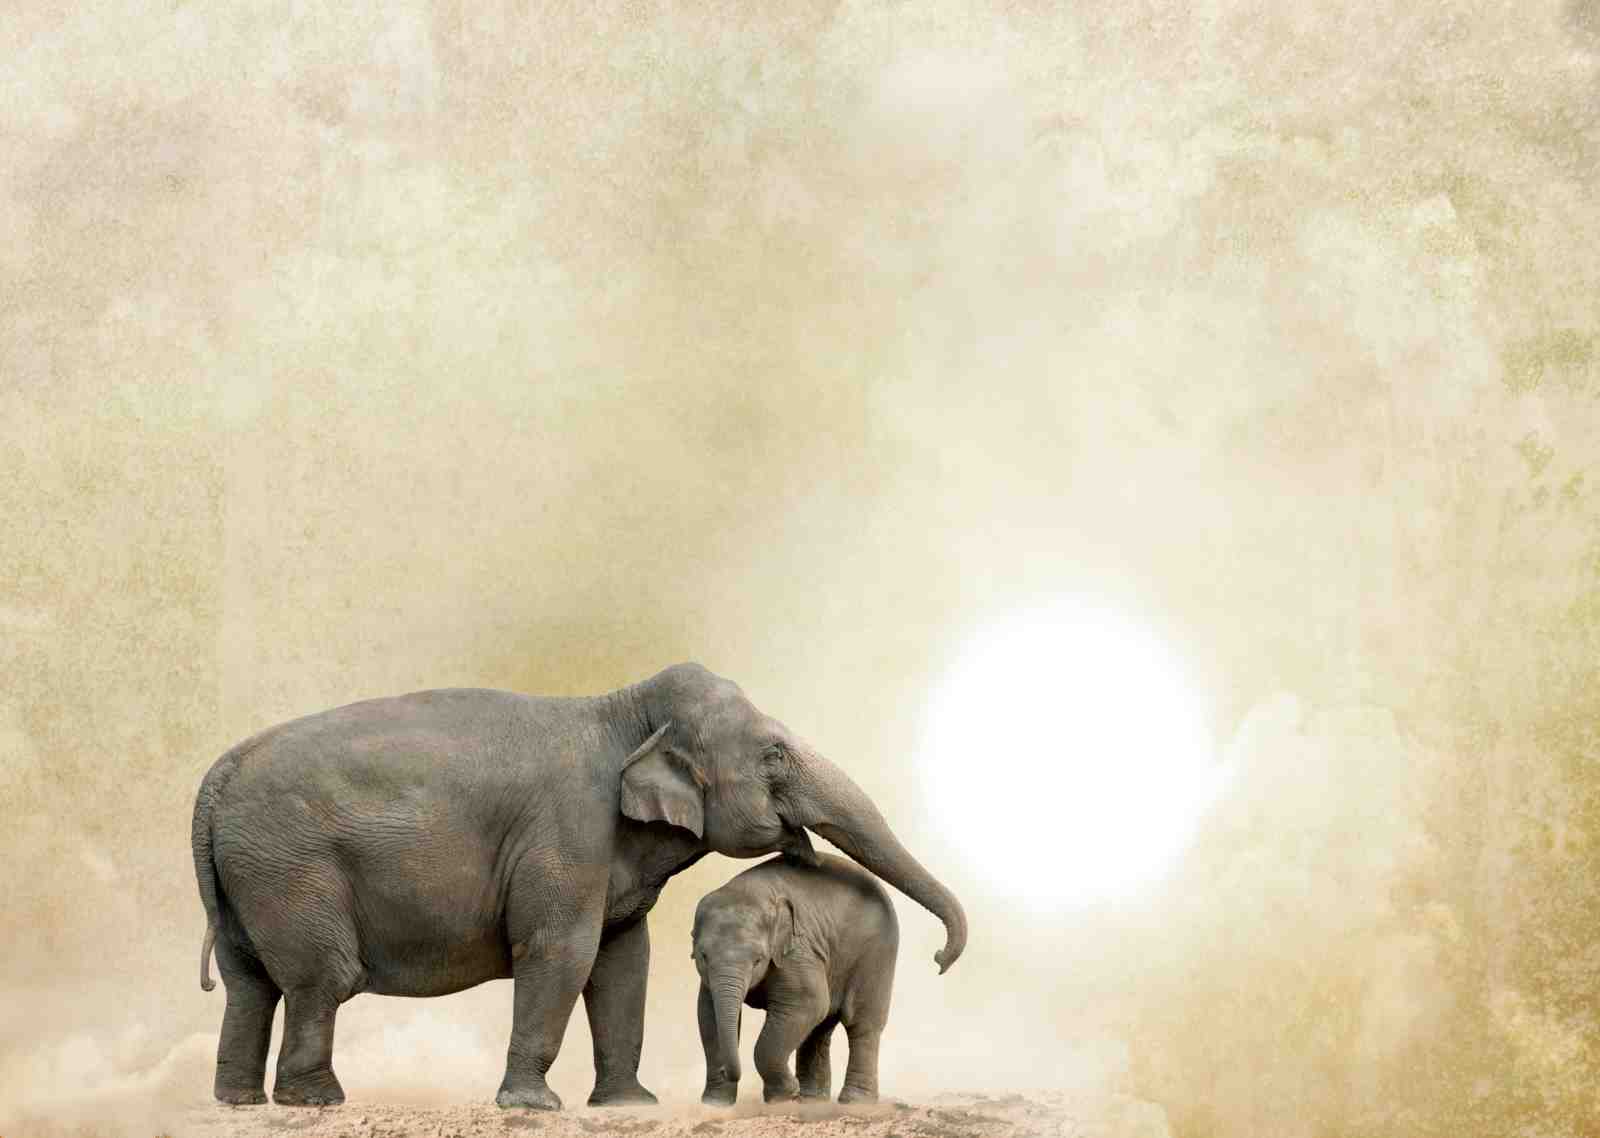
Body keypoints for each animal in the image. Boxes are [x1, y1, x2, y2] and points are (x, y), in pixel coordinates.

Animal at [693, 853, 900, 1107]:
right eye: (703, 956)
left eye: (758, 960)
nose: (726, 1071)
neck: (749, 891)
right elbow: (707, 1014)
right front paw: (715, 1104)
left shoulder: (798, 951)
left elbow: (809, 1003)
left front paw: (784, 1095)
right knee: (820, 1026)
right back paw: (812, 1099)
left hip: (876, 953)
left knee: (861, 1023)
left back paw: (854, 1102)